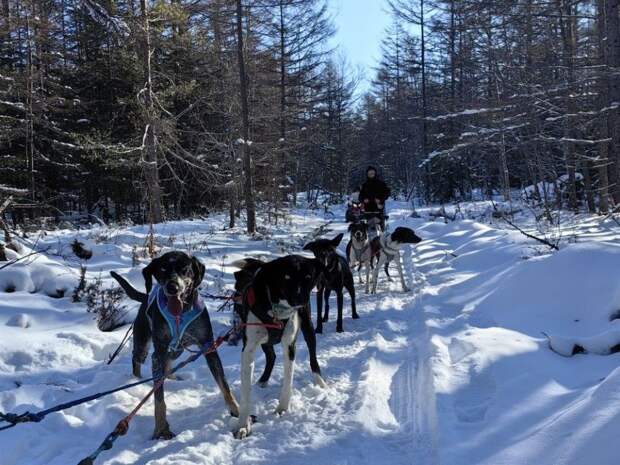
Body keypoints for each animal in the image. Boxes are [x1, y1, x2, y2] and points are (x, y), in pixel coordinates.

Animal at [110, 254, 239, 438]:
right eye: (163, 269)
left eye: (184, 269)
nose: (173, 287)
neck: (180, 314)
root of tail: (145, 297)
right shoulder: (158, 353)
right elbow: (159, 399)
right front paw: (161, 429)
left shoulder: (209, 347)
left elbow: (225, 385)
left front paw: (237, 411)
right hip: (144, 347)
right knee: (137, 360)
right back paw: (137, 380)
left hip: (176, 350)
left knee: (167, 365)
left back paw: (170, 376)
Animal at [232, 254, 326, 438]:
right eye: (286, 277)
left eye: (308, 277)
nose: (300, 299)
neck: (275, 310)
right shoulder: (248, 350)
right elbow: (245, 394)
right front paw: (243, 425)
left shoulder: (289, 345)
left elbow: (288, 381)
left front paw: (282, 408)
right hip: (265, 342)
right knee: (271, 356)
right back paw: (263, 380)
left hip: (308, 327)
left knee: (312, 357)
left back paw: (321, 382)